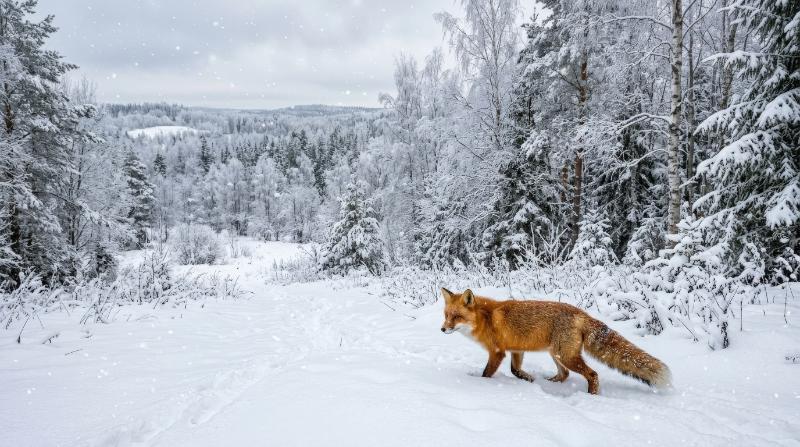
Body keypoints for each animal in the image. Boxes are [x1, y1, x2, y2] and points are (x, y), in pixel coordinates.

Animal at [440, 288, 671, 394]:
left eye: (456, 317)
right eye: (446, 315)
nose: (442, 329)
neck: (484, 319)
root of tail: (582, 313)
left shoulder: (497, 352)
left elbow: (487, 373)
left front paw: (481, 384)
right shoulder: (517, 349)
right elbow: (515, 370)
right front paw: (529, 379)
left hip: (565, 355)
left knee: (592, 374)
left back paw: (592, 396)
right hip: (556, 354)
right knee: (565, 374)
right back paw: (549, 382)